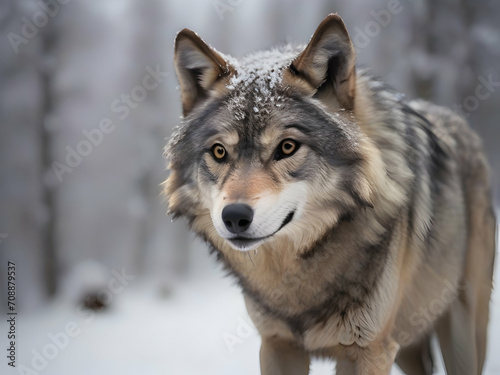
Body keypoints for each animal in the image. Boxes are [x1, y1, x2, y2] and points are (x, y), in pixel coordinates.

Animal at [164, 13, 496, 375]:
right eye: (219, 152)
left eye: (287, 147)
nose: (234, 217)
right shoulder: (276, 345)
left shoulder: (368, 351)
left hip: (462, 333)